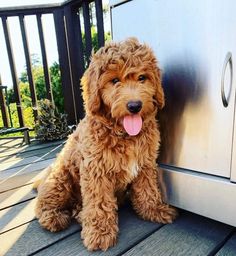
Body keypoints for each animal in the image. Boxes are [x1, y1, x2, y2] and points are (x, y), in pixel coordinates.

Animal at [35, 37, 177, 250]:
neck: (124, 134)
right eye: (115, 80)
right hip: (60, 180)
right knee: (43, 205)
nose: (134, 106)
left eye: (142, 77)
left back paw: (79, 213)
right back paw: (54, 217)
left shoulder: (145, 163)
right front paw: (100, 233)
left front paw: (154, 209)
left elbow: (148, 189)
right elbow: (99, 203)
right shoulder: (96, 170)